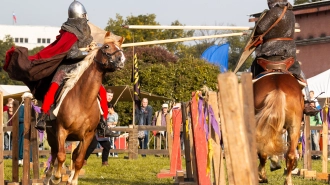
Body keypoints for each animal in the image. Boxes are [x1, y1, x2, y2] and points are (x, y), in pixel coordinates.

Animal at [43, 31, 125, 185]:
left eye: (120, 47)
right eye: (106, 46)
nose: (121, 60)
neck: (83, 101)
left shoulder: (88, 136)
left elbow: (79, 159)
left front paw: (73, 180)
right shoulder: (61, 131)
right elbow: (61, 155)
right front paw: (56, 177)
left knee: (74, 155)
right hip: (51, 134)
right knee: (54, 152)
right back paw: (49, 176)